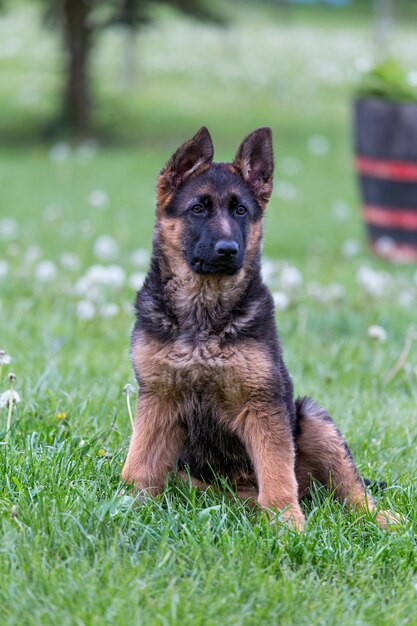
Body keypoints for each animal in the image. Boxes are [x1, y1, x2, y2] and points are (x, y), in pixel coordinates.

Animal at [121, 129, 396, 528]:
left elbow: (278, 471)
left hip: (314, 419)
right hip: (197, 480)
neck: (203, 311)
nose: (228, 250)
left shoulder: (263, 404)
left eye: (241, 211)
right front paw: (126, 506)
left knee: (351, 489)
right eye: (198, 209)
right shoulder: (159, 398)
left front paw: (288, 524)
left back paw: (382, 519)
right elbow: (139, 462)